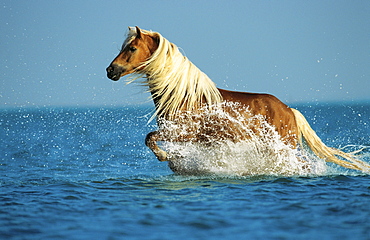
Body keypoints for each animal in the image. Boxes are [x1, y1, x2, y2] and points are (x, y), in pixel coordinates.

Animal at [105, 26, 368, 173]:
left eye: (131, 48)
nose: (110, 70)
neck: (183, 97)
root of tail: (289, 110)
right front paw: (175, 162)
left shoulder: (183, 133)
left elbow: (150, 138)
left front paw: (165, 156)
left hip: (283, 147)